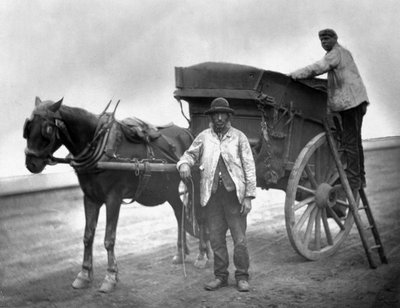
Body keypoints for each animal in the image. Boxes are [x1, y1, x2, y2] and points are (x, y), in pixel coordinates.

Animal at [22, 97, 211, 294]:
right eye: (27, 128)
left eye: (47, 129)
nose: (31, 163)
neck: (100, 146)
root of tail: (189, 133)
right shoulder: (90, 198)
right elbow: (87, 236)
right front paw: (84, 275)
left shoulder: (113, 198)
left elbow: (109, 239)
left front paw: (110, 276)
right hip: (169, 190)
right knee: (179, 213)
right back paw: (181, 254)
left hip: (194, 182)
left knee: (201, 216)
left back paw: (202, 255)